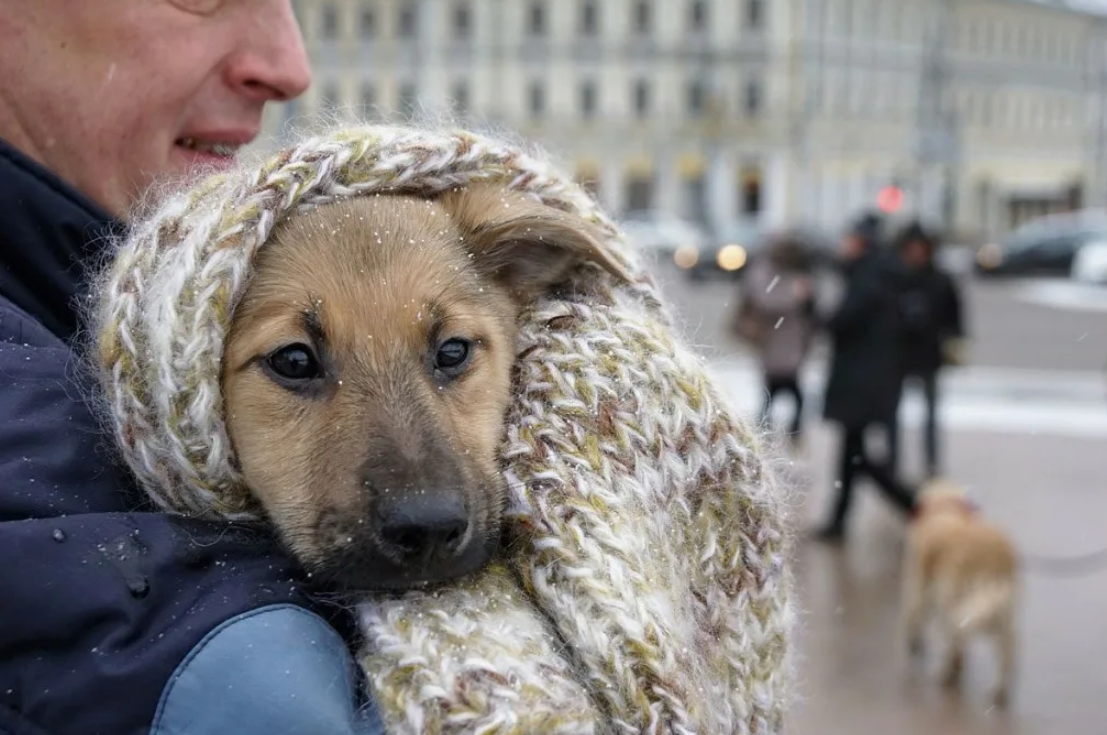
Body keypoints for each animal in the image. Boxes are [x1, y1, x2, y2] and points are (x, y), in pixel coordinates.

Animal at [898, 475, 1018, 708]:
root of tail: (992, 556)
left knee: (953, 635)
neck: (945, 507)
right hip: (1001, 610)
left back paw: (945, 674)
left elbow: (914, 616)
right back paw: (1000, 690)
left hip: (954, 598)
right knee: (1007, 652)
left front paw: (914, 644)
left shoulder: (919, 585)